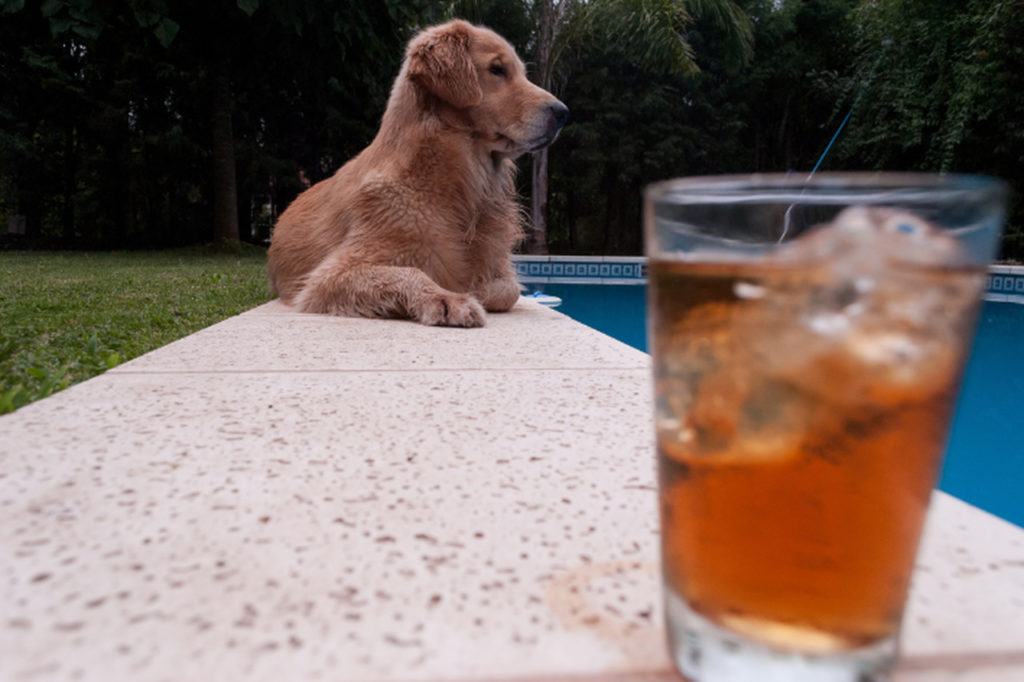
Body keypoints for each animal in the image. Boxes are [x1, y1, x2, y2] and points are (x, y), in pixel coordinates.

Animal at [266, 20, 569, 327]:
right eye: (497, 69)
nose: (563, 112)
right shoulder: (328, 277)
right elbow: (409, 272)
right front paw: (448, 298)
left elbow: (508, 289)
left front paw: (474, 289)